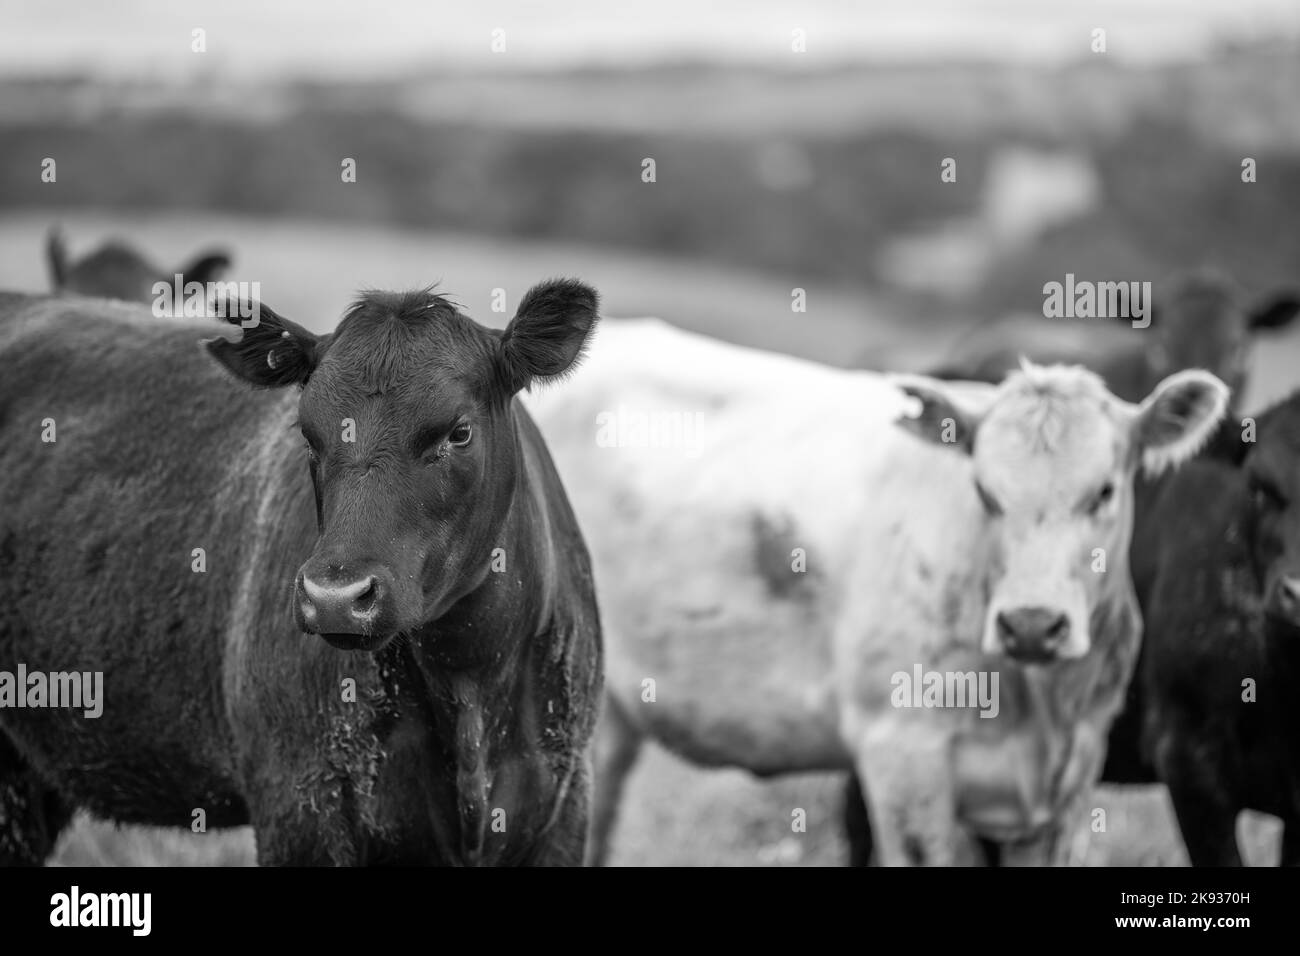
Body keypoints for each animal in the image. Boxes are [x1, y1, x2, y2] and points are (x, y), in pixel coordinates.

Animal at [0, 282, 603, 868]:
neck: (469, 683)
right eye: (308, 435)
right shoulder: (301, 805)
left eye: (458, 432)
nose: (334, 597)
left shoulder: (566, 810)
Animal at [520, 321, 1227, 868]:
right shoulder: (902, 760)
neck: (1038, 708)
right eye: (985, 491)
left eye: (1104, 491)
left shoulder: (1070, 788)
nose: (1031, 624)